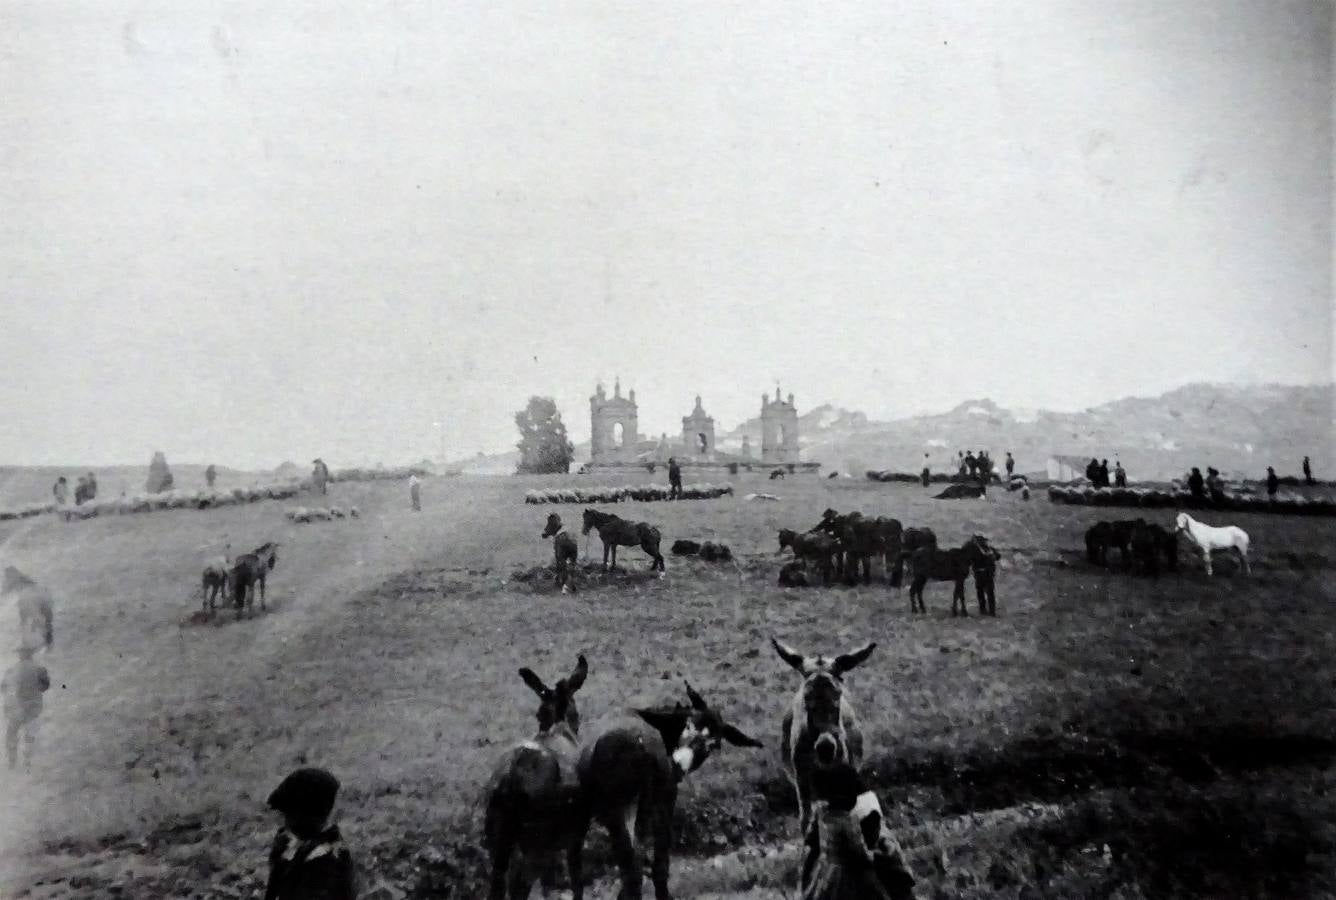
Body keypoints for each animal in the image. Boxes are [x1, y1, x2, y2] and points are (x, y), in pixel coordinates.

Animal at [480, 651, 585, 897]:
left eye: (538, 714)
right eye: (578, 713)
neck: (560, 726)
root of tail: (510, 784)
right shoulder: (575, 836)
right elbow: (577, 883)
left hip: (497, 840)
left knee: (498, 886)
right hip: (535, 843)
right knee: (519, 887)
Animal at [574, 681, 764, 897]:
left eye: (713, 745)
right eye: (688, 726)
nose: (679, 764)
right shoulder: (666, 796)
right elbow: (660, 856)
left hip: (617, 807)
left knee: (627, 859)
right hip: (642, 802)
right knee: (638, 859)